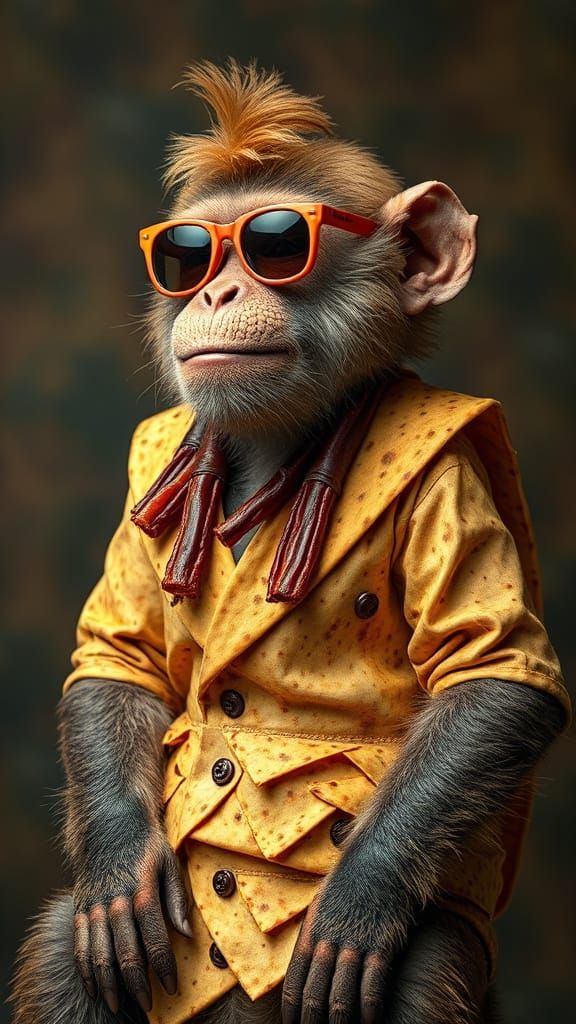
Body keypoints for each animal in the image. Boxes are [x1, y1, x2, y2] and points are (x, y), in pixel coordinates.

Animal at [10, 60, 570, 1024]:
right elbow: (119, 654)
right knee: (65, 954)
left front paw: (358, 902)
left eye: (276, 244)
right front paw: (116, 872)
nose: (213, 290)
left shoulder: (452, 478)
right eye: (186, 255)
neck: (283, 441)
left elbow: (492, 670)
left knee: (423, 971)